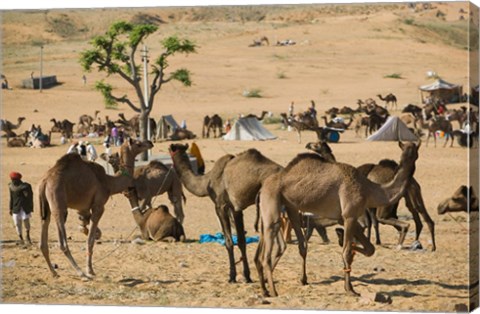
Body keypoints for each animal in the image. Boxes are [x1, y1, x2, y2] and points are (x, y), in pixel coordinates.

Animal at [38, 137, 153, 278]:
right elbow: (90, 240)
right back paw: (81, 272)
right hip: (58, 202)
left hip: (45, 207)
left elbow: (88, 229)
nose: (150, 142)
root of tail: (45, 181)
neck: (109, 182)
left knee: (43, 236)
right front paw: (90, 270)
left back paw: (54, 272)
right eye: (138, 143)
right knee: (62, 242)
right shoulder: (98, 206)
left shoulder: (84, 208)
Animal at [169, 144, 282, 284]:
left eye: (171, 151)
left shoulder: (220, 206)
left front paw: (232, 276)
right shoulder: (236, 209)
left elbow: (228, 241)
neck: (206, 182)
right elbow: (241, 241)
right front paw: (247, 276)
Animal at [255, 141, 420, 296]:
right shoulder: (350, 215)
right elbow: (346, 252)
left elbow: (369, 249)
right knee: (268, 245)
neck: (369, 189)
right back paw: (273, 291)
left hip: (290, 206)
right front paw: (350, 289)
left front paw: (349, 246)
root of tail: (263, 187)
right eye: (409, 152)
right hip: (272, 198)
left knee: (298, 243)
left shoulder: (345, 218)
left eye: (414, 152)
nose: (408, 160)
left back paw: (272, 286)